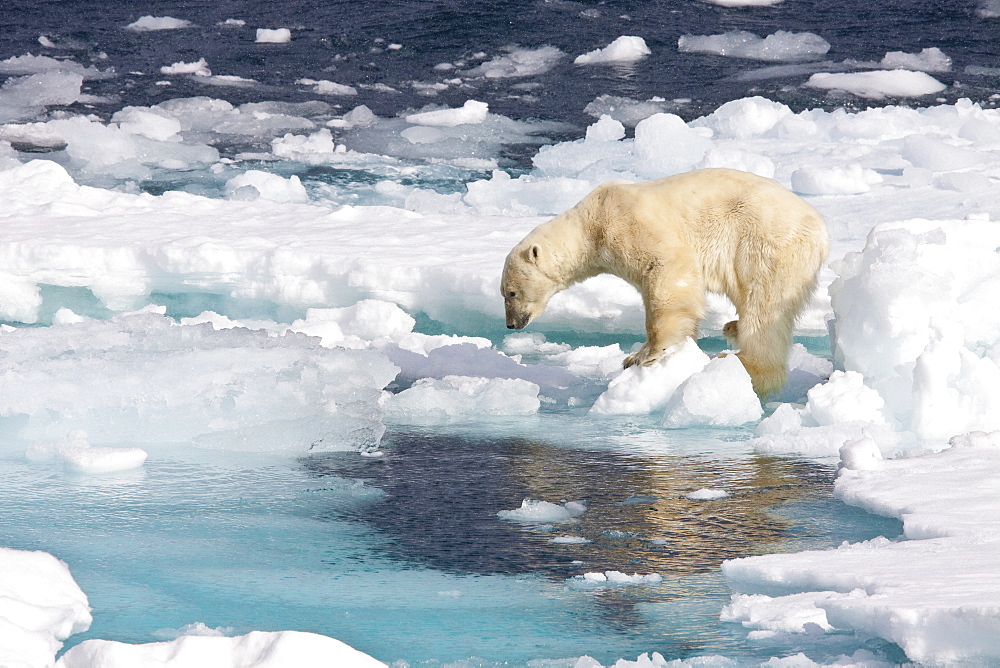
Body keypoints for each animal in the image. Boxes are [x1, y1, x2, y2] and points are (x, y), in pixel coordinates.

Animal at [500, 168, 828, 396]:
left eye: (511, 292)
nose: (511, 324)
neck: (591, 223)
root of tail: (820, 227)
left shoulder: (627, 223)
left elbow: (667, 269)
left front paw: (645, 354)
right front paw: (636, 354)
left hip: (764, 240)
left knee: (764, 304)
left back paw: (747, 363)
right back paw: (733, 327)